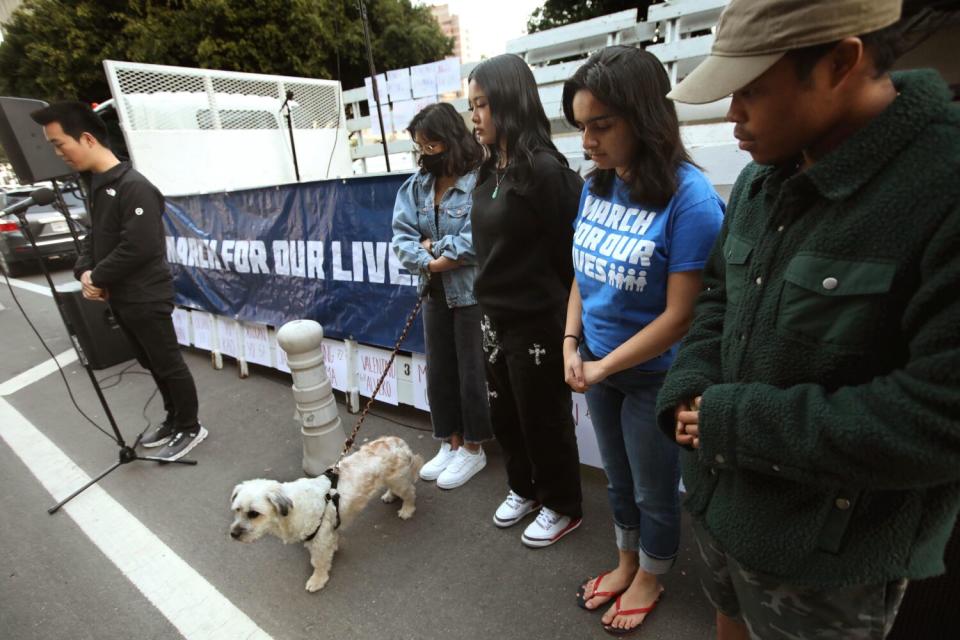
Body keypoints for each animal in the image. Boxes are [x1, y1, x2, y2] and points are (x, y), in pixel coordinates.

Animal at [229, 438, 424, 592]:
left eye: (254, 514)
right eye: (237, 510)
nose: (233, 534)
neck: (293, 507)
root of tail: (397, 441)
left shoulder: (320, 540)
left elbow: (318, 562)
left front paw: (317, 580)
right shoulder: (327, 533)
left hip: (398, 480)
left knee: (410, 492)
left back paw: (407, 509)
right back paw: (389, 496)